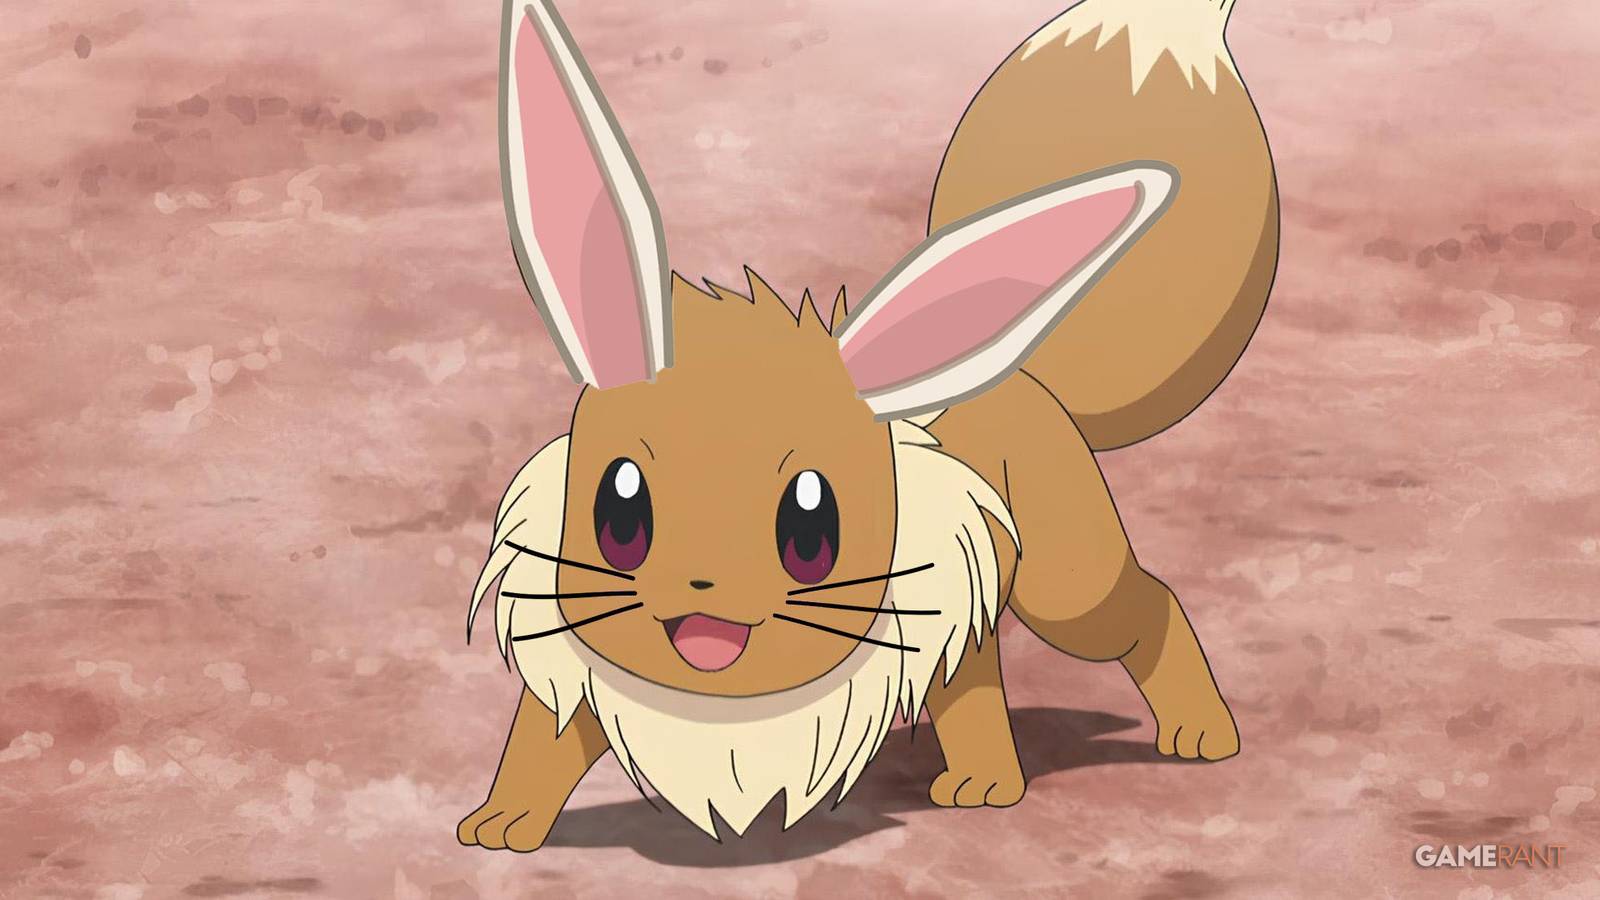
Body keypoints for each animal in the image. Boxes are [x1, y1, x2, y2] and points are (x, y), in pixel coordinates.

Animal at [459, 0, 1277, 851]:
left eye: (809, 533)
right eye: (620, 516)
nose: (701, 585)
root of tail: (1029, 373)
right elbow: (548, 736)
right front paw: (504, 820)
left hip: (1064, 578)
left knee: (1141, 607)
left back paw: (1193, 733)